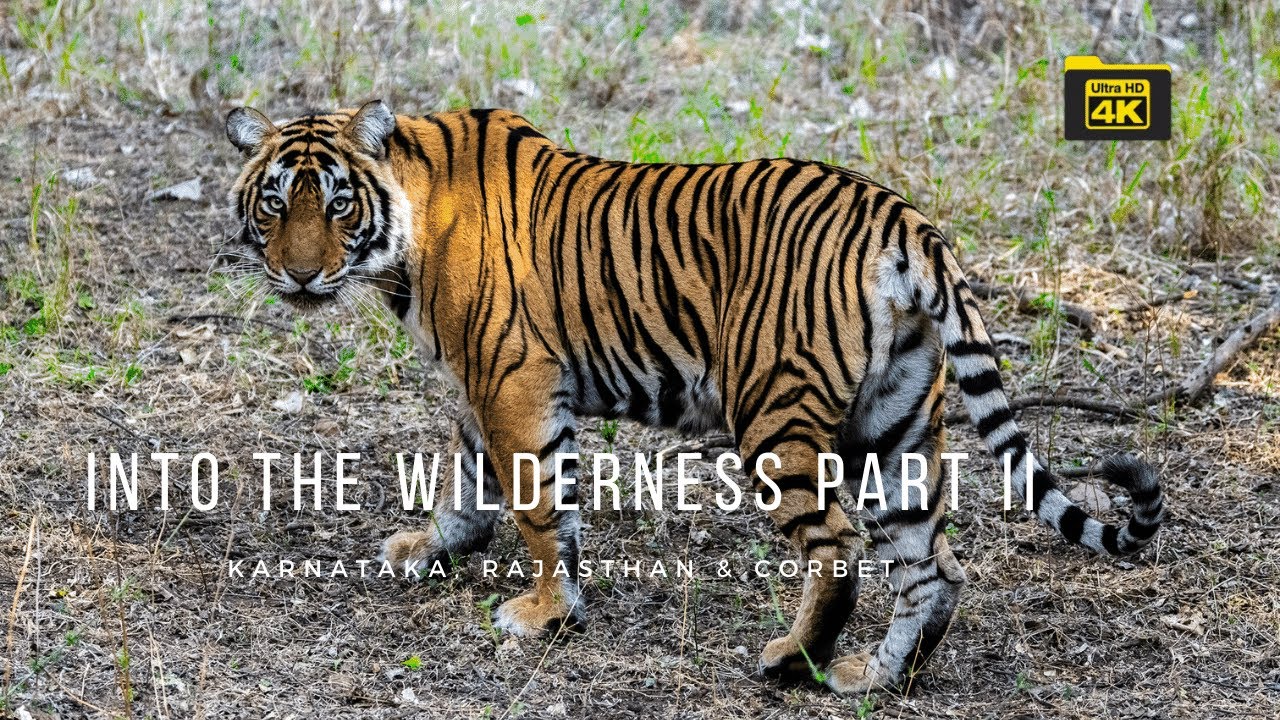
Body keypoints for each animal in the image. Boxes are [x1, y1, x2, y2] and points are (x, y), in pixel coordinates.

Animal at [223, 100, 1164, 694]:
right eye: (274, 203)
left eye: (337, 205)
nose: (298, 275)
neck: (406, 234)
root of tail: (902, 217)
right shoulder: (475, 383)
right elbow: (469, 481)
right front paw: (433, 548)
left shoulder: (513, 378)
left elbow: (536, 505)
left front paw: (543, 614)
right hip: (894, 424)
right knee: (933, 566)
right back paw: (873, 677)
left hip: (775, 417)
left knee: (839, 548)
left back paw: (790, 660)